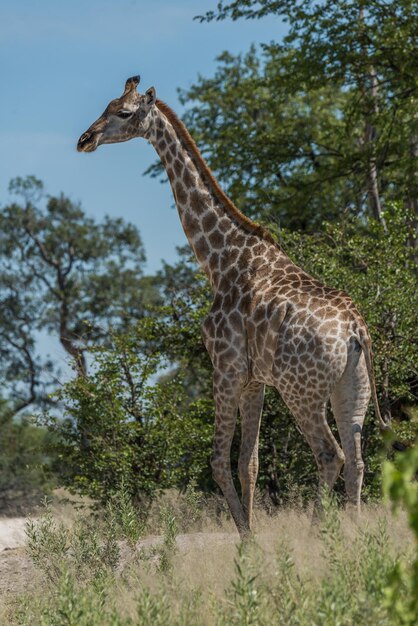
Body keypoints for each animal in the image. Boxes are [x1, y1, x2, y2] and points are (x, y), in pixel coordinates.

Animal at [76, 75, 386, 532]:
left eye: (124, 112)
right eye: (107, 104)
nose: (85, 139)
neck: (219, 260)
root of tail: (356, 330)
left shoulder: (224, 366)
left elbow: (219, 462)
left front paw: (246, 538)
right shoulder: (255, 379)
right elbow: (249, 464)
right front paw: (253, 532)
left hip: (302, 390)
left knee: (331, 455)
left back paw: (321, 531)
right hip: (352, 387)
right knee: (358, 460)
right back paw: (354, 533)